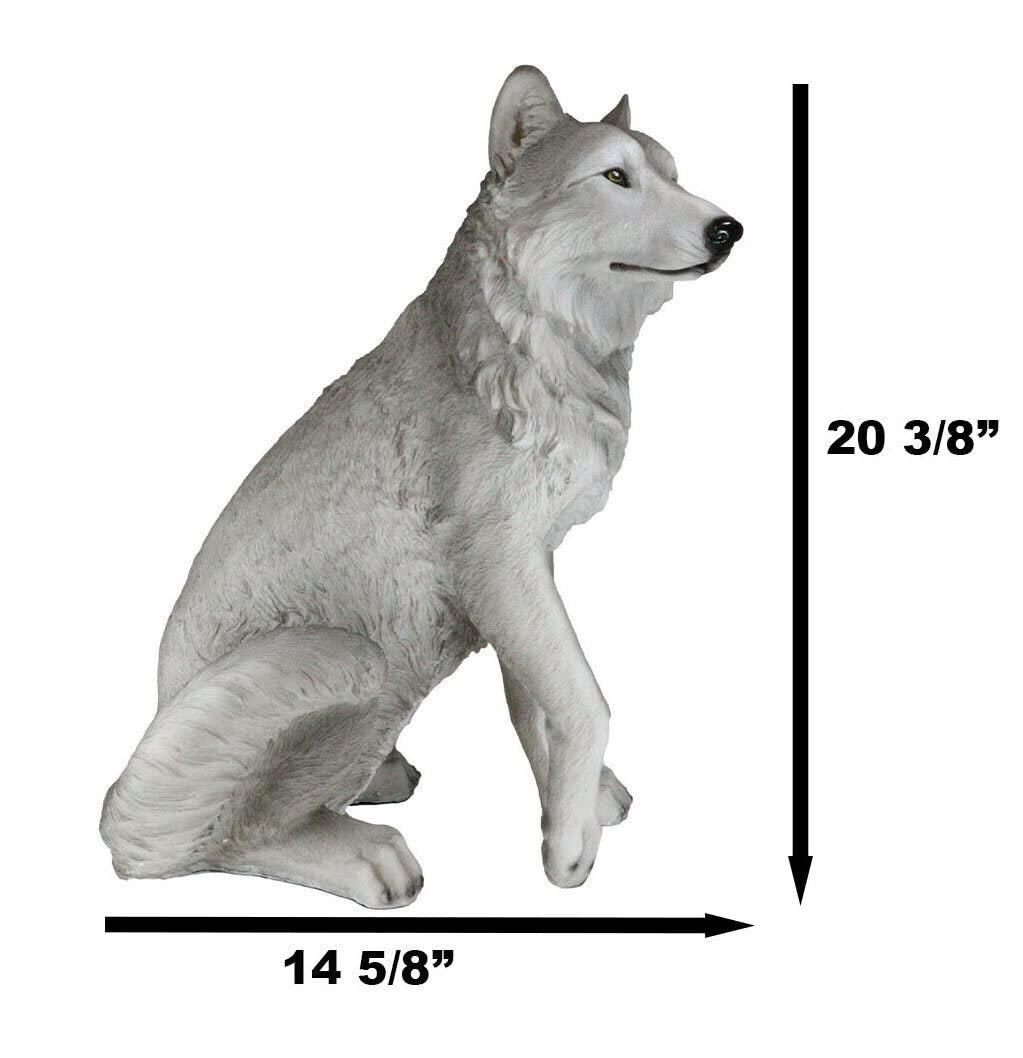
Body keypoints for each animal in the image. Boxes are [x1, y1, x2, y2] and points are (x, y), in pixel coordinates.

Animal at [100, 66, 743, 907]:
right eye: (614, 177)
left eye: (670, 172)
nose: (729, 230)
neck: (529, 344)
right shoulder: (496, 561)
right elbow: (583, 700)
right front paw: (569, 848)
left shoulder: (527, 566)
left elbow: (536, 707)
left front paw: (571, 803)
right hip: (351, 663)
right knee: (178, 837)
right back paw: (363, 855)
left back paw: (380, 779)